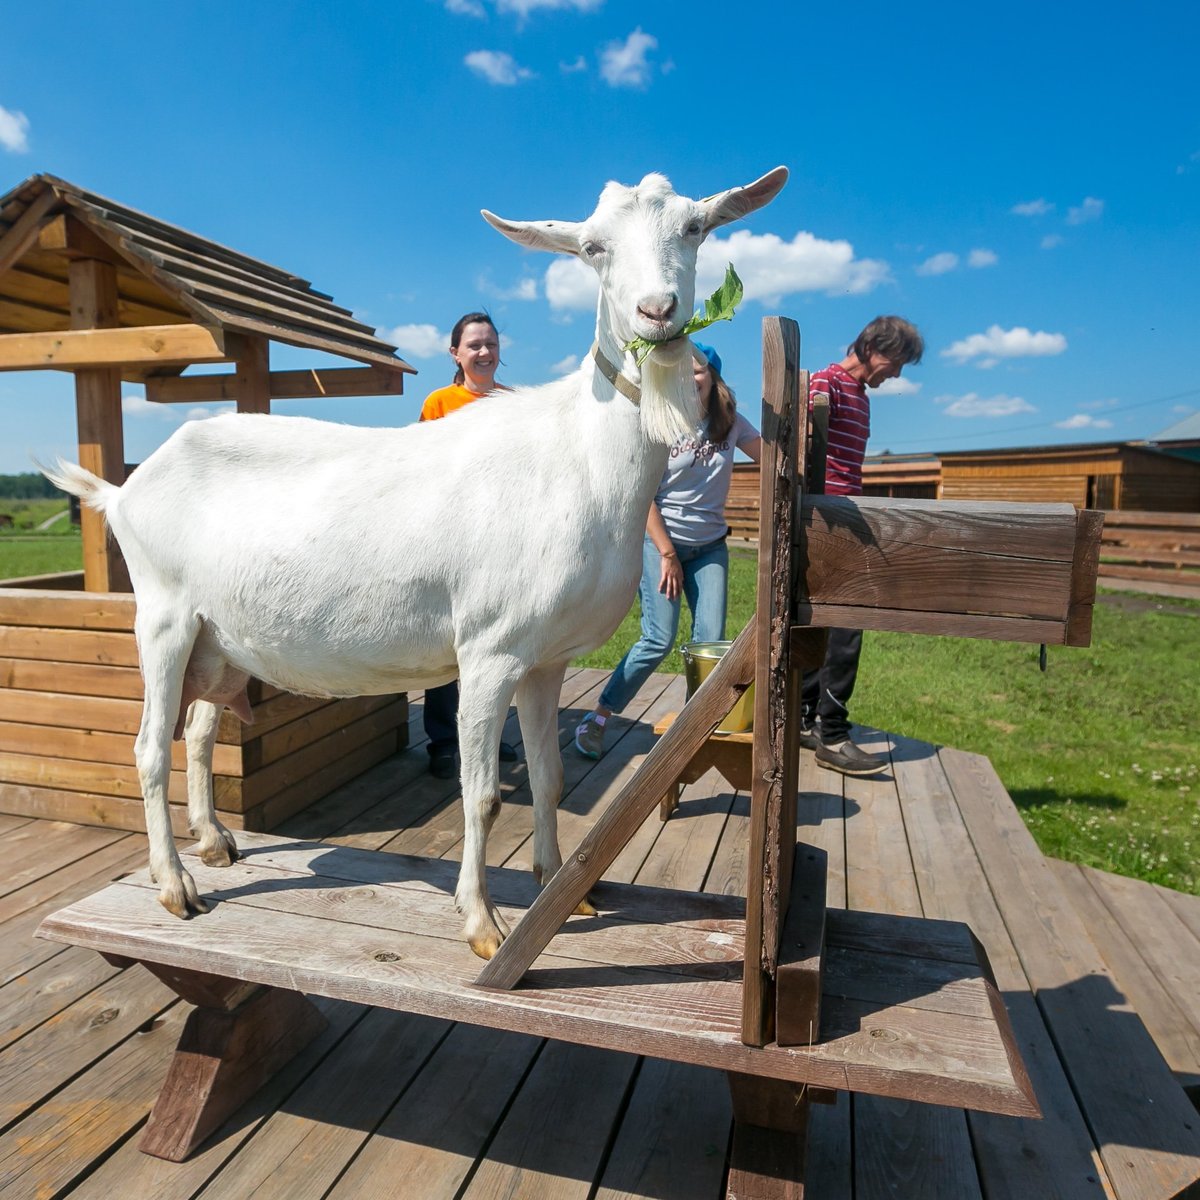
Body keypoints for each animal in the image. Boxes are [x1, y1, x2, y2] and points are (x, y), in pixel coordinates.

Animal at [44, 166, 787, 955]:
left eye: (695, 228)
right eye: (592, 247)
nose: (658, 312)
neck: (575, 455)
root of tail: (125, 490)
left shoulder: (546, 658)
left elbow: (551, 779)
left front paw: (565, 890)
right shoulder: (490, 649)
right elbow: (483, 794)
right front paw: (483, 923)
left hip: (218, 638)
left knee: (201, 729)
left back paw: (215, 842)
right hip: (162, 615)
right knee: (150, 746)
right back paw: (175, 885)